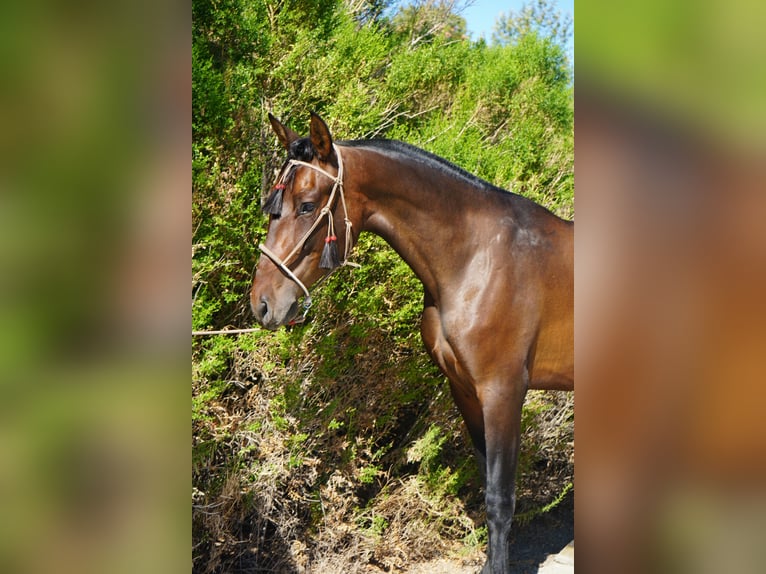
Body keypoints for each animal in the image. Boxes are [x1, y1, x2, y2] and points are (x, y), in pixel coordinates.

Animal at [251, 112, 574, 573]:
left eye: (308, 205)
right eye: (272, 208)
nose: (261, 304)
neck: (478, 258)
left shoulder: (503, 391)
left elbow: (500, 498)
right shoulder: (465, 390)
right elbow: (485, 482)